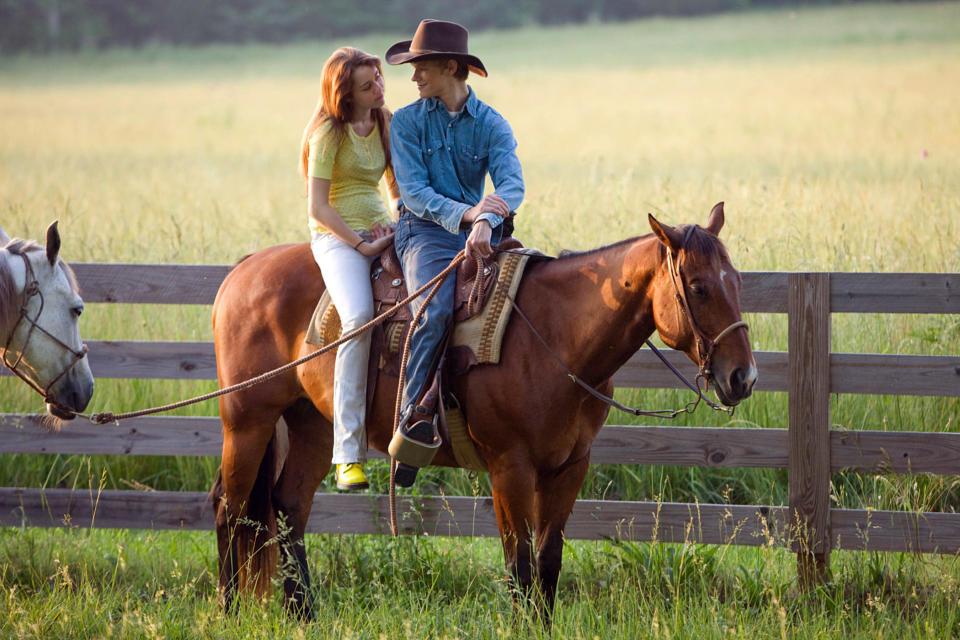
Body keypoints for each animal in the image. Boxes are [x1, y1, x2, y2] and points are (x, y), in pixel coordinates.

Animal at [212, 201, 756, 620]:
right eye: (698, 286)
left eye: (737, 282)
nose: (743, 378)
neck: (555, 335)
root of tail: (243, 268)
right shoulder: (509, 467)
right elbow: (519, 565)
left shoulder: (568, 468)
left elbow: (548, 563)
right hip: (248, 419)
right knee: (229, 507)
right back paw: (230, 608)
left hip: (312, 423)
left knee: (288, 507)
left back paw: (303, 612)